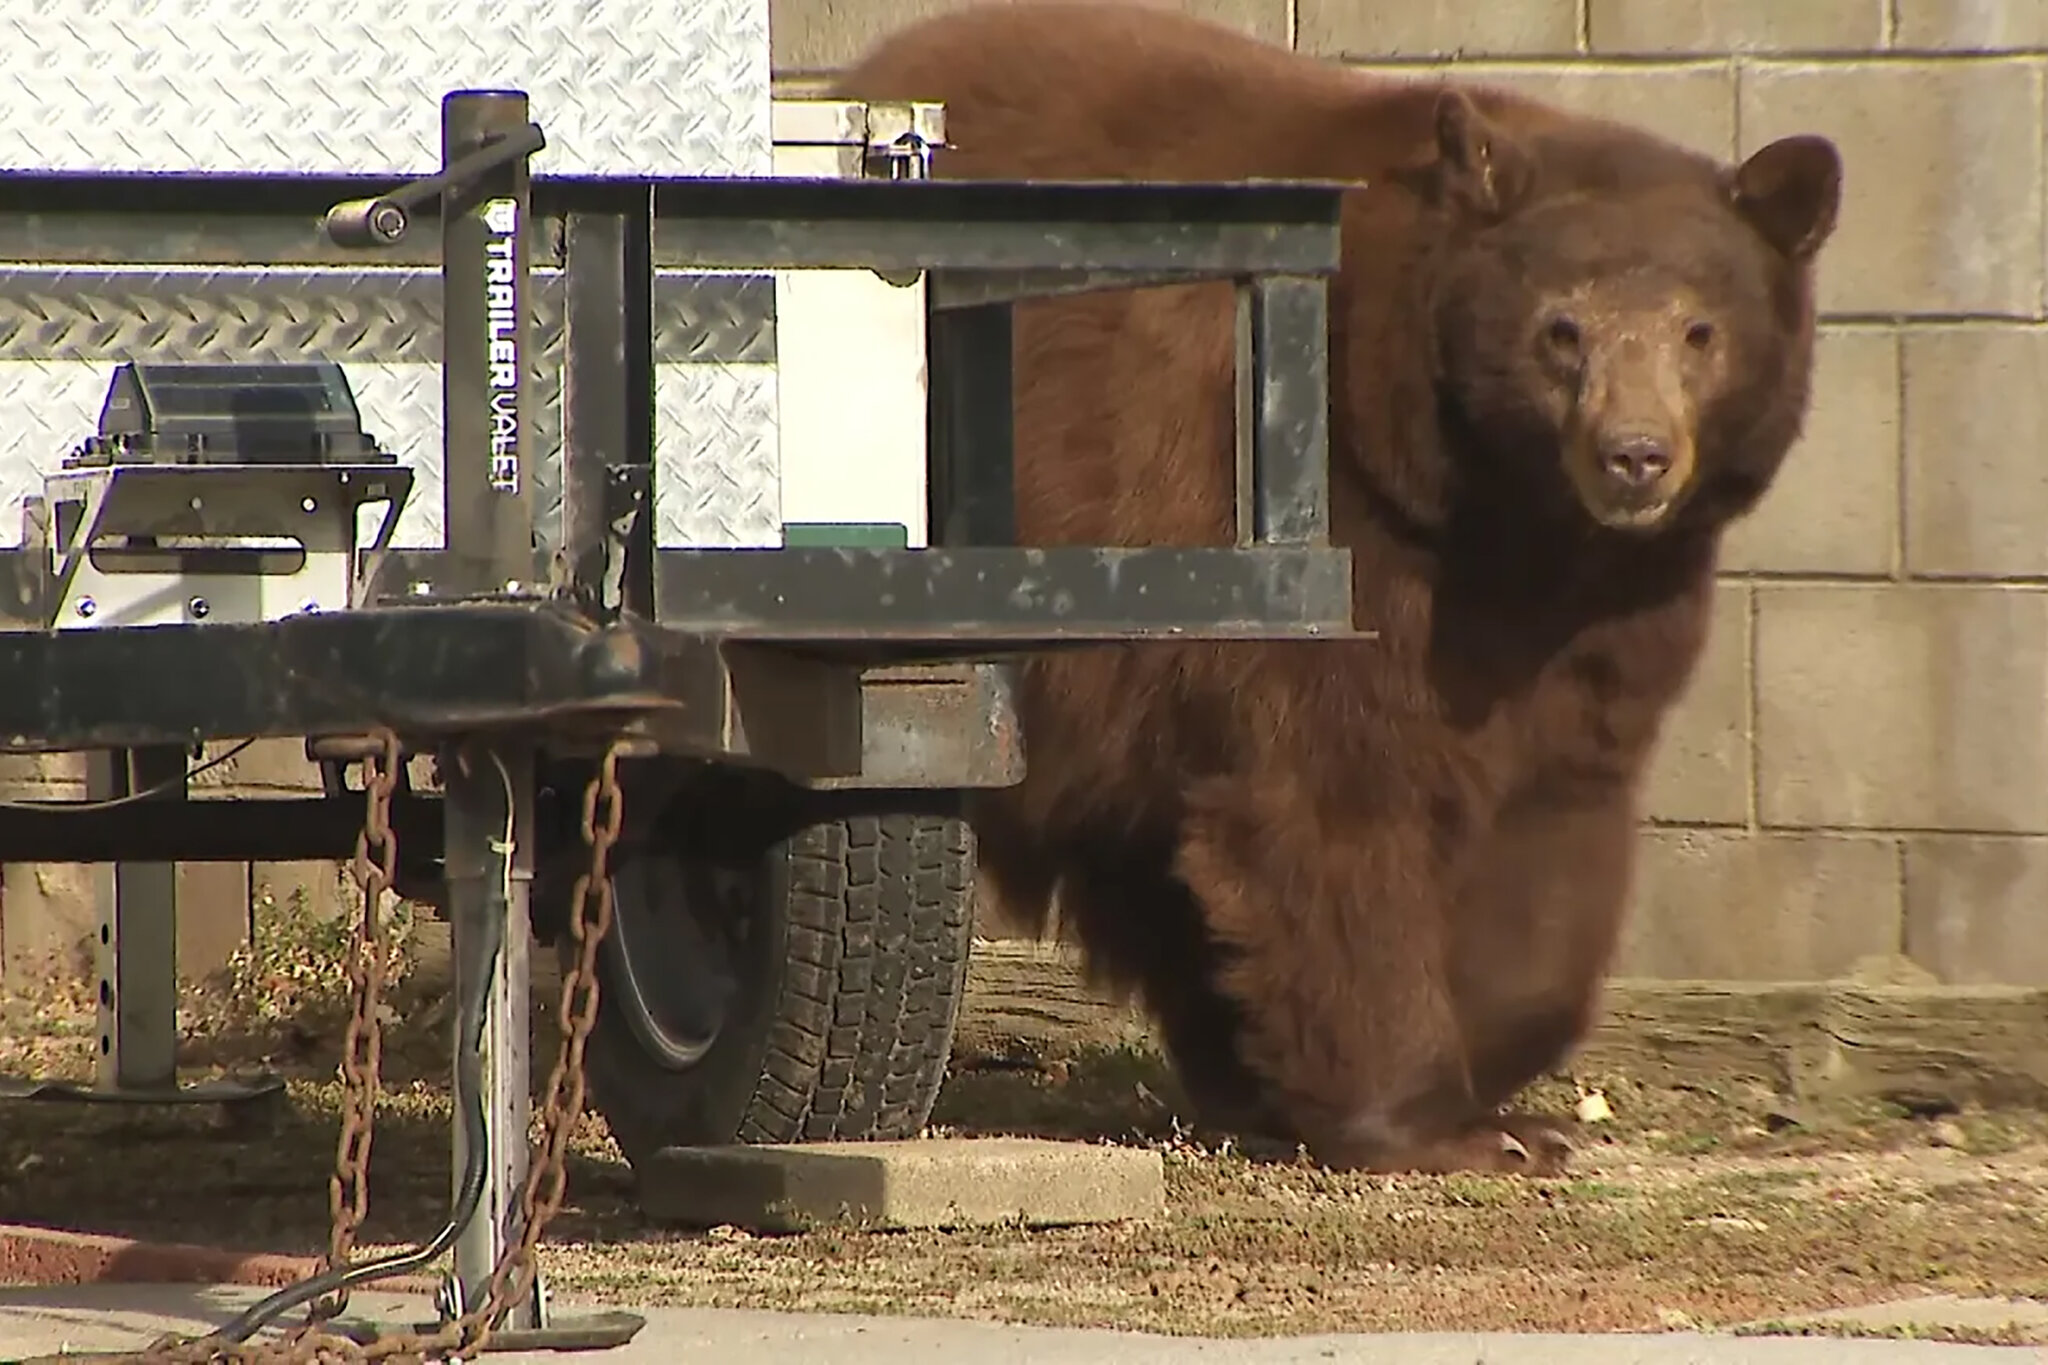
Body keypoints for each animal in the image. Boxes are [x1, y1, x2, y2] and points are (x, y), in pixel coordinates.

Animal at [836, 2, 1841, 1175]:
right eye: (1561, 328)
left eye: (1698, 330)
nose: (1632, 455)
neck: (1494, 508)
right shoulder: (1309, 515)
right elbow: (1332, 792)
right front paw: (1435, 1117)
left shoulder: (1607, 606)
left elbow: (1554, 807)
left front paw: (1506, 1079)